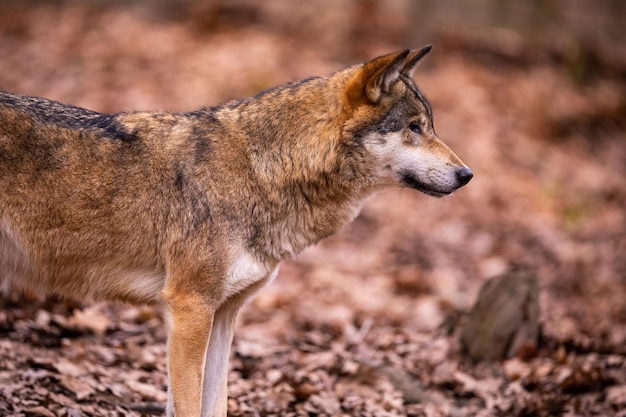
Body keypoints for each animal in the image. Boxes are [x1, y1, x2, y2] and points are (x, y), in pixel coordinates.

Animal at [0, 44, 468, 414]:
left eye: (430, 125)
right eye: (414, 128)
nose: (467, 175)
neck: (261, 171)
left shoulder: (224, 314)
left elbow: (216, 403)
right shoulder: (190, 308)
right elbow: (189, 407)